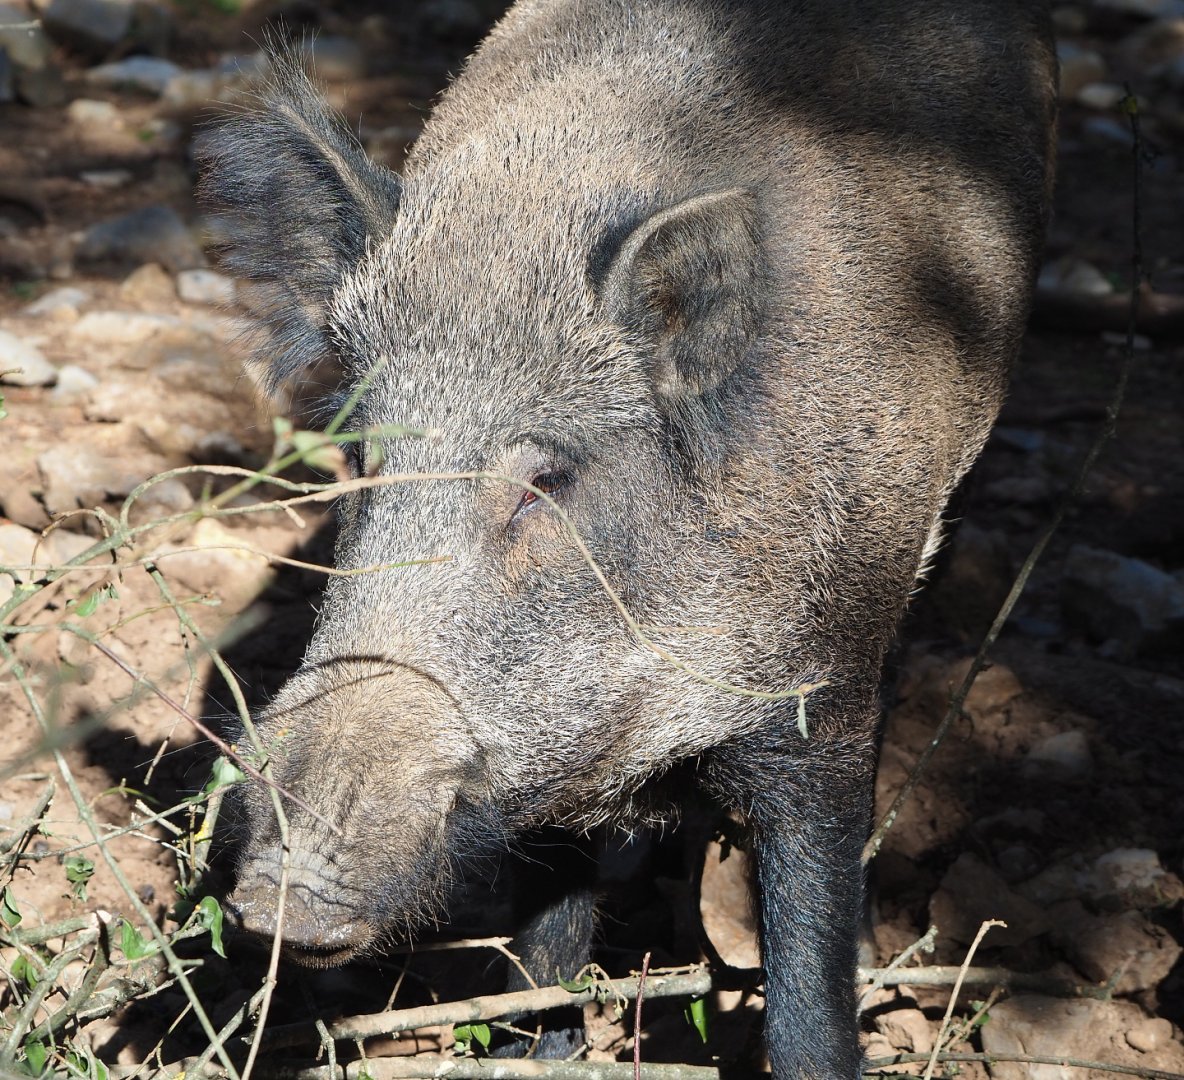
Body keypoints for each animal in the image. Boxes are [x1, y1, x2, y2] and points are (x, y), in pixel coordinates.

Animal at [201, 0, 1057, 1074]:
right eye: (362, 451)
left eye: (548, 480)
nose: (276, 901)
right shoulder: (549, 765)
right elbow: (544, 947)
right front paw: (544, 1045)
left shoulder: (821, 692)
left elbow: (808, 973)